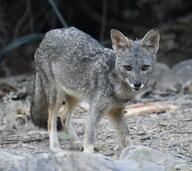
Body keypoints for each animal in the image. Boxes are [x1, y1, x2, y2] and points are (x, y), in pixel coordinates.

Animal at [30, 27, 160, 154]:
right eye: (128, 67)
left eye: (145, 67)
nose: (137, 84)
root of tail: (49, 33)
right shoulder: (95, 111)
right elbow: (90, 140)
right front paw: (88, 155)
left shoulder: (116, 111)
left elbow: (126, 137)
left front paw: (132, 152)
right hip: (56, 98)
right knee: (50, 121)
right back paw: (55, 148)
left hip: (75, 96)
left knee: (63, 117)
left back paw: (77, 143)